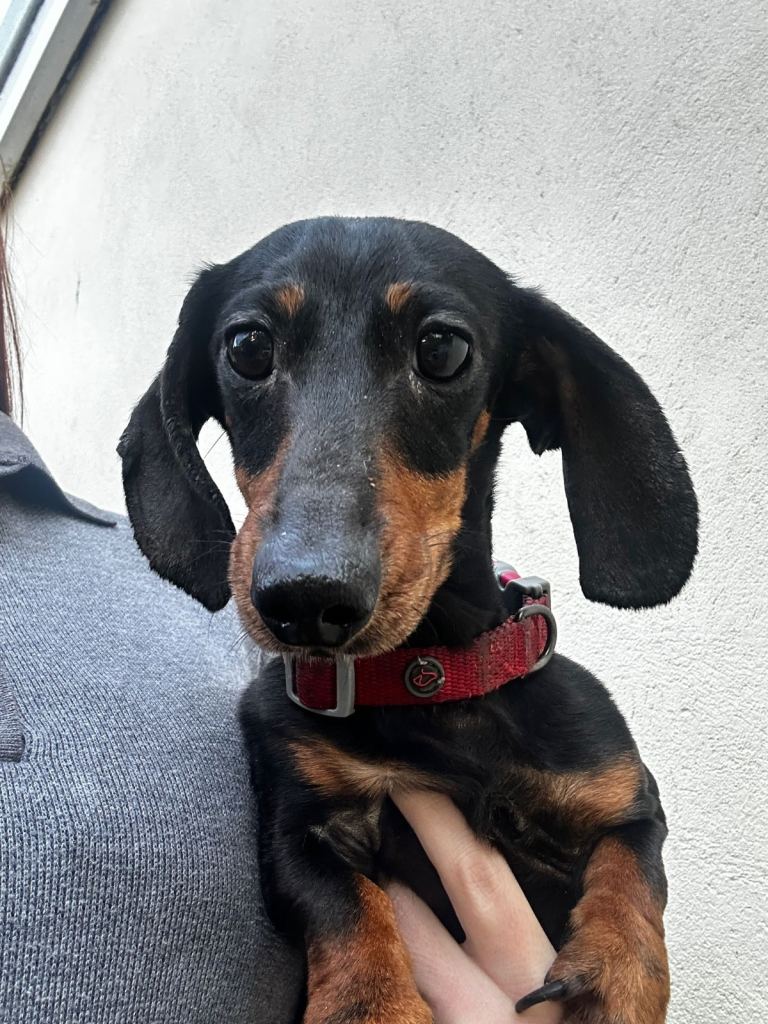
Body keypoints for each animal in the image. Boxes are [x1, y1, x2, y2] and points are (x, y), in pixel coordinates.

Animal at [119, 216, 697, 1024]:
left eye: (442, 348)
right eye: (247, 347)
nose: (304, 599)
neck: (431, 678)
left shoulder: (624, 795)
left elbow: (634, 869)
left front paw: (618, 976)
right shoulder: (297, 827)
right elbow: (347, 910)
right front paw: (372, 1002)